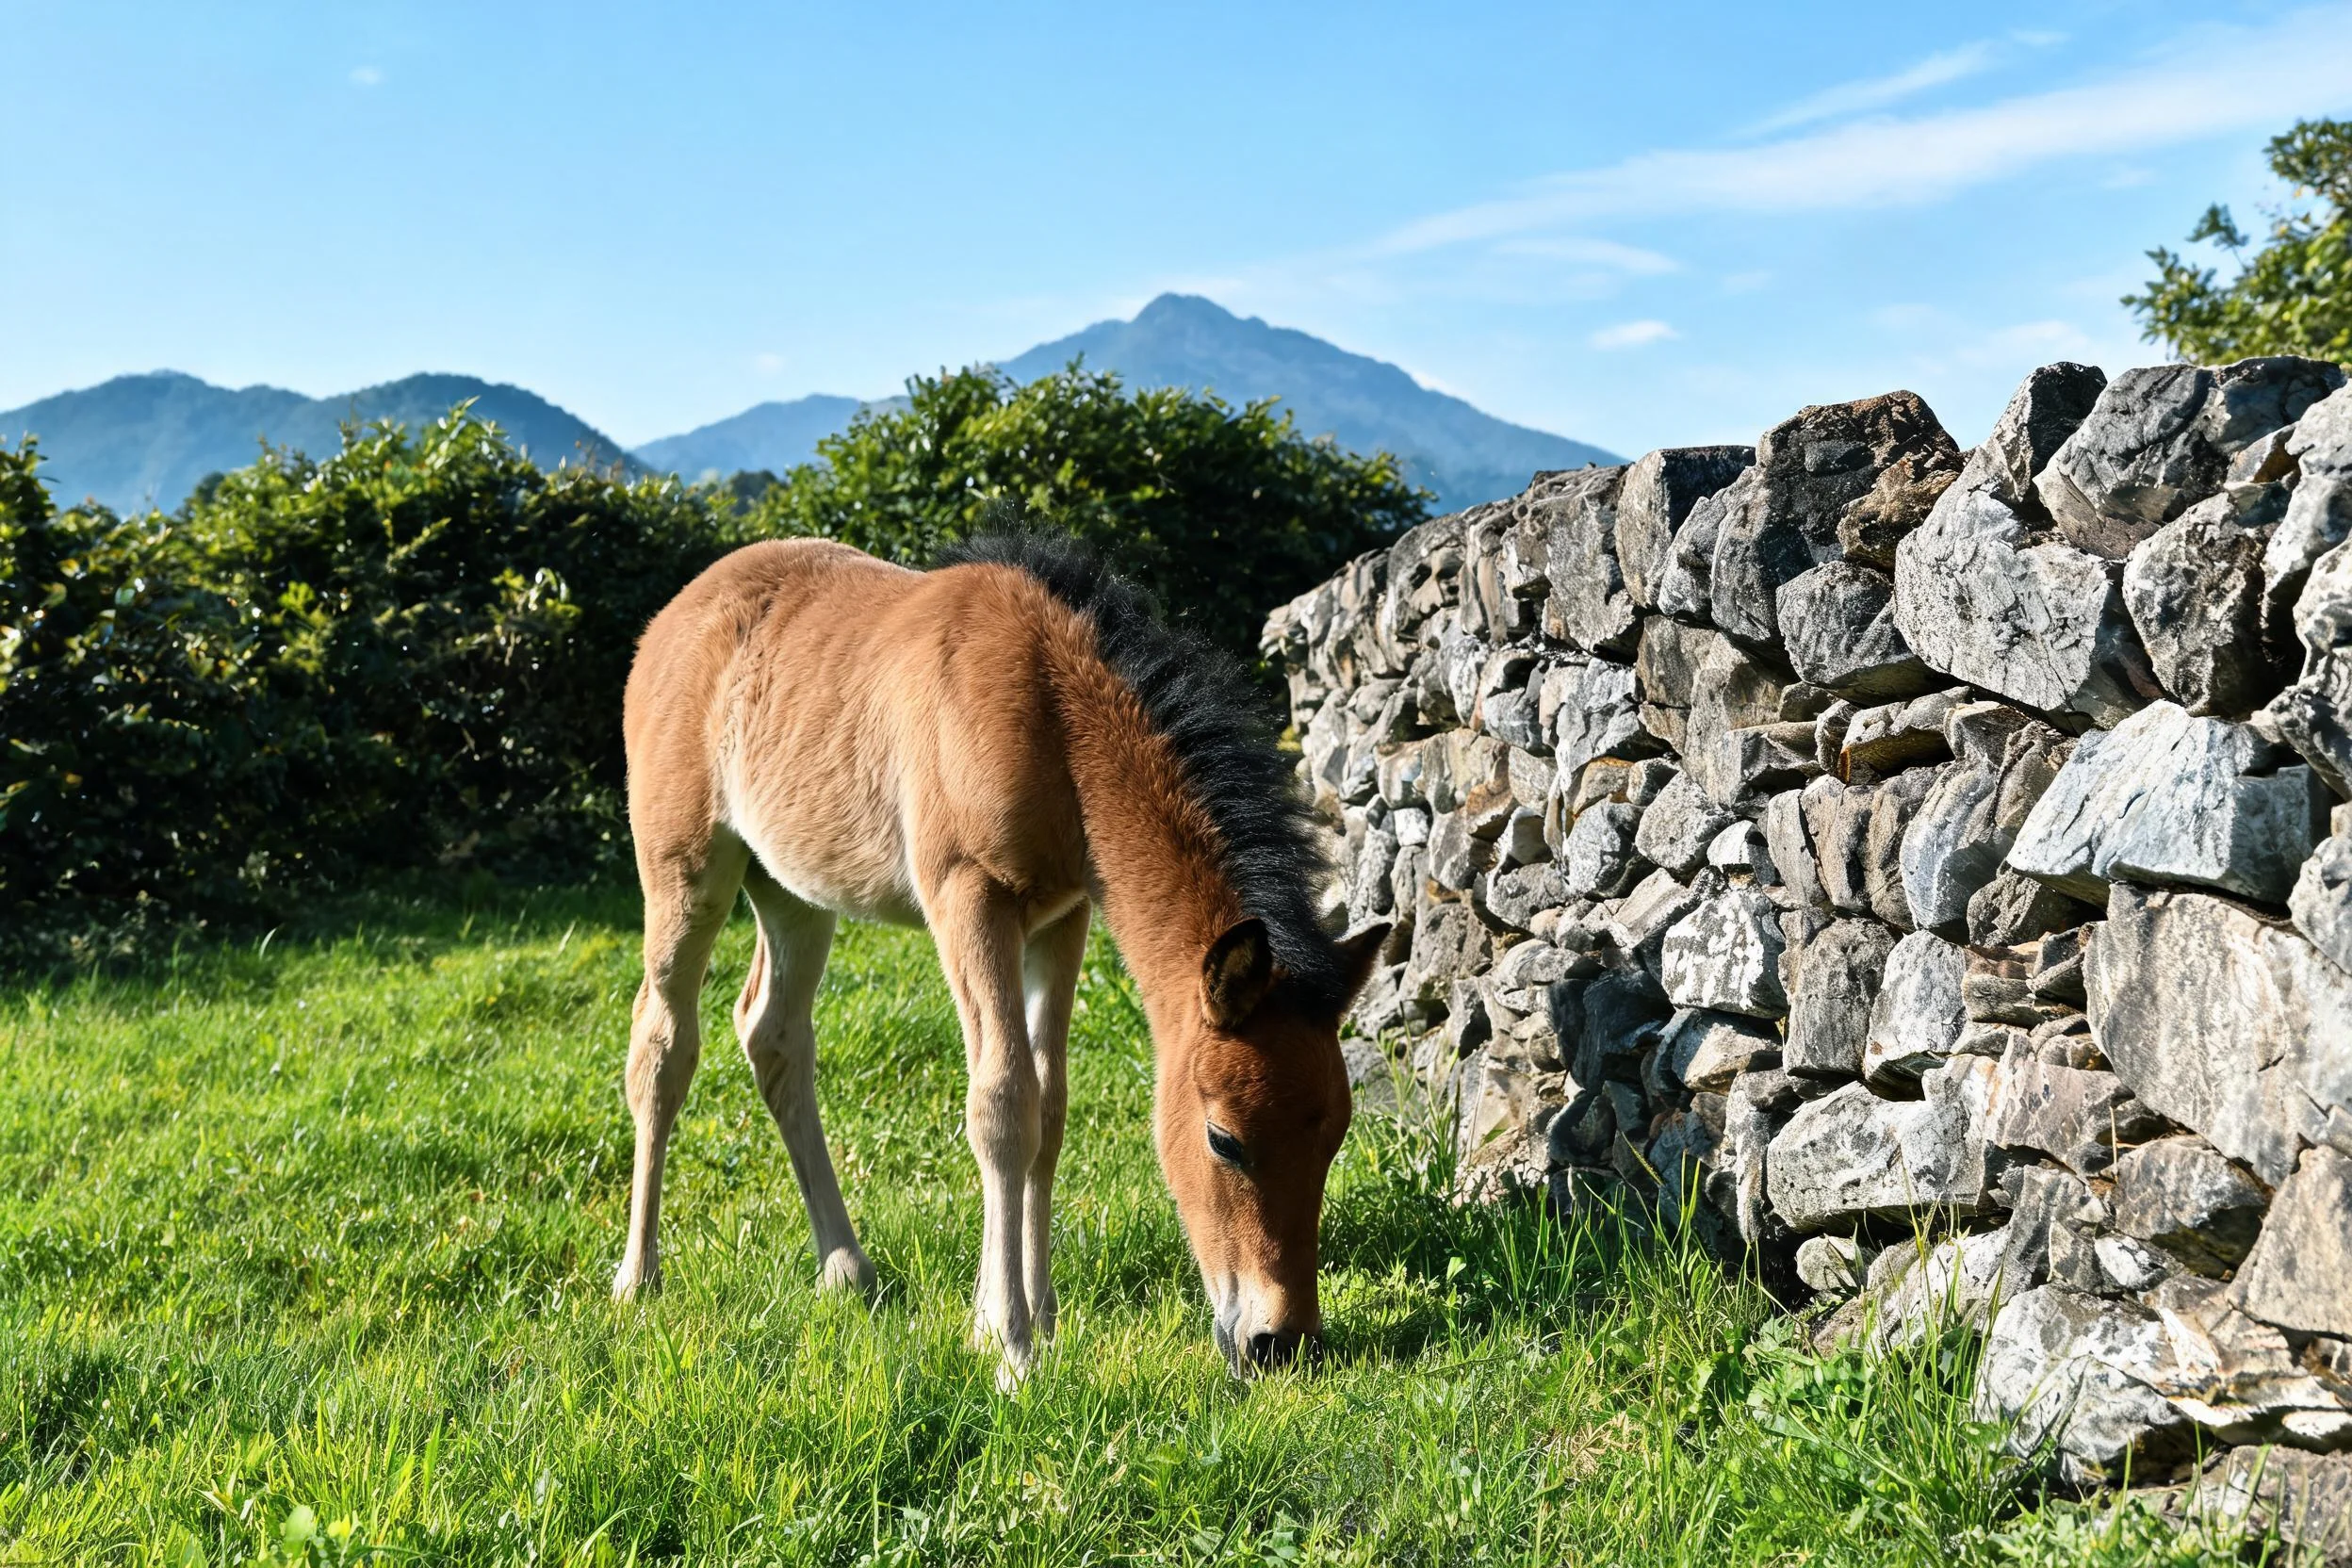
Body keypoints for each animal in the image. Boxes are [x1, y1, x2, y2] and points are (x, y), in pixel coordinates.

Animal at [611, 532, 1388, 1381]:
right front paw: (1010, 1347)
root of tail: (674, 615)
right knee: (662, 1044)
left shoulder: (1064, 917)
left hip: (794, 892)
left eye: (1335, 1136)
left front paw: (1034, 1317)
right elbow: (1002, 1105)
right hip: (685, 869)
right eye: (1224, 1140)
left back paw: (847, 1269)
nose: (1282, 1343)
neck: (1051, 713)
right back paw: (638, 1279)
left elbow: (1048, 1108)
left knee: (774, 1036)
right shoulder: (970, 898)